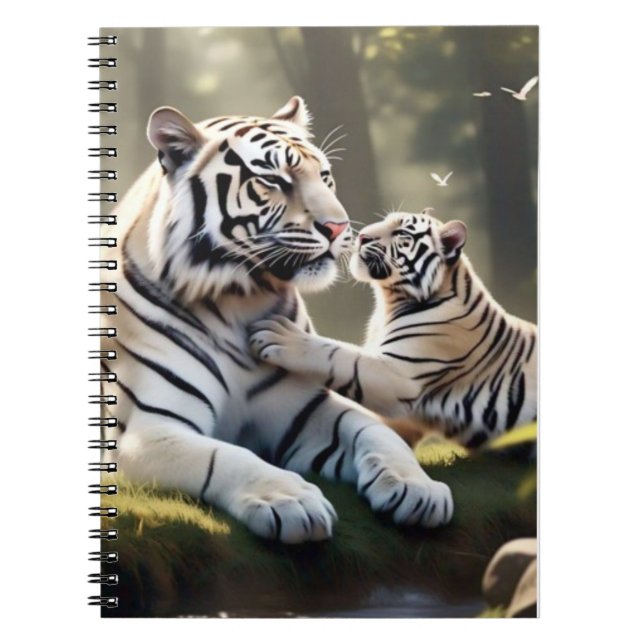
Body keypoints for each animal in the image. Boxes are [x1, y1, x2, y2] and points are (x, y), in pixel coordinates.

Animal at [101, 98, 453, 545]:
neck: (238, 302)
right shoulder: (147, 431)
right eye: (274, 179)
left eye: (325, 177)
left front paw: (417, 486)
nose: (340, 228)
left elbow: (375, 430)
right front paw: (289, 500)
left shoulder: (307, 408)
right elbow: (225, 456)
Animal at [250, 209, 537, 448]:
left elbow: (340, 355)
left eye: (401, 234)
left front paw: (279, 336)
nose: (362, 236)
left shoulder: (401, 373)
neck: (388, 302)